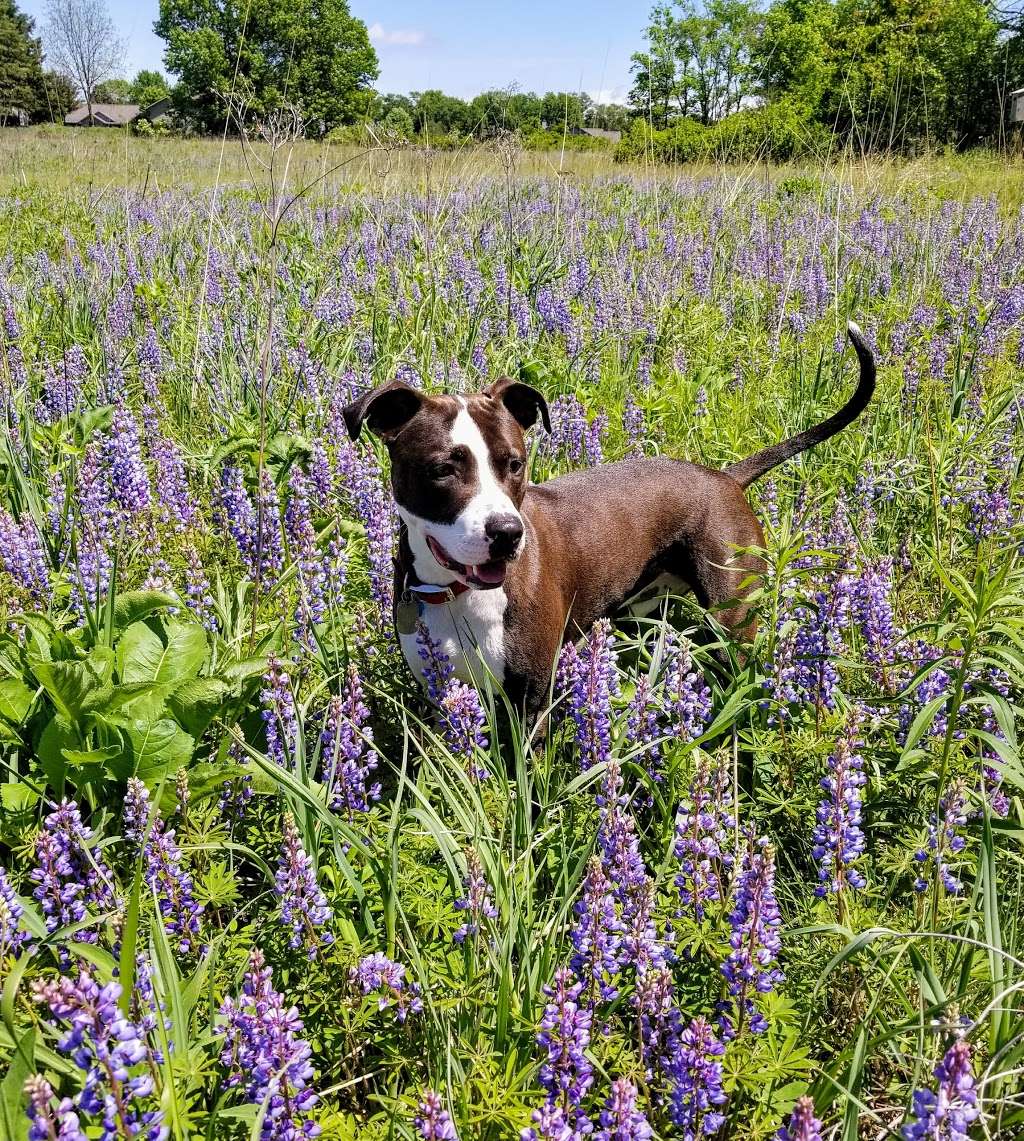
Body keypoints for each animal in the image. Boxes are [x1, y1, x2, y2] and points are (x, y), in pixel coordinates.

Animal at [342, 324, 872, 711]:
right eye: (442, 470)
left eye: (515, 463)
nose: (508, 533)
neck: (456, 592)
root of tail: (724, 477)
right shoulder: (436, 691)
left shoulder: (530, 698)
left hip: (732, 618)